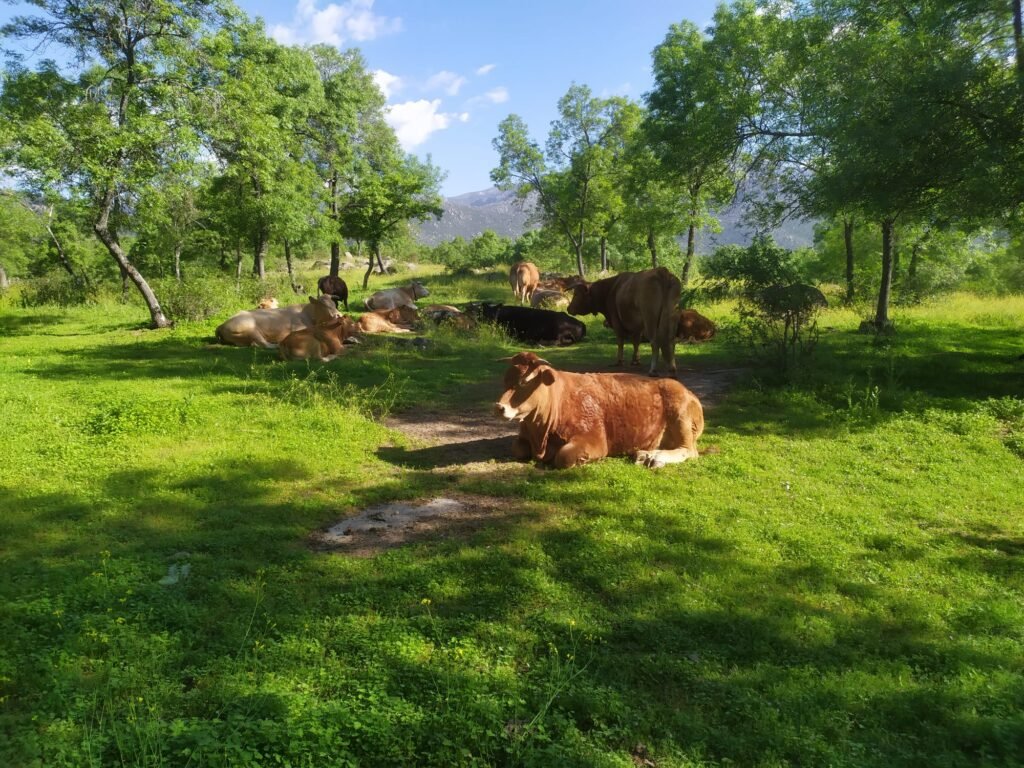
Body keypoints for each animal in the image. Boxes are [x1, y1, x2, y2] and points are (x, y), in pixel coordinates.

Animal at [494, 351, 705, 469]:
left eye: (525, 382)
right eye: (504, 380)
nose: (499, 407)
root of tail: (688, 392)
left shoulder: (594, 439)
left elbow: (564, 456)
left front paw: (582, 460)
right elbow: (518, 448)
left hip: (680, 417)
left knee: (689, 451)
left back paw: (655, 458)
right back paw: (644, 454)